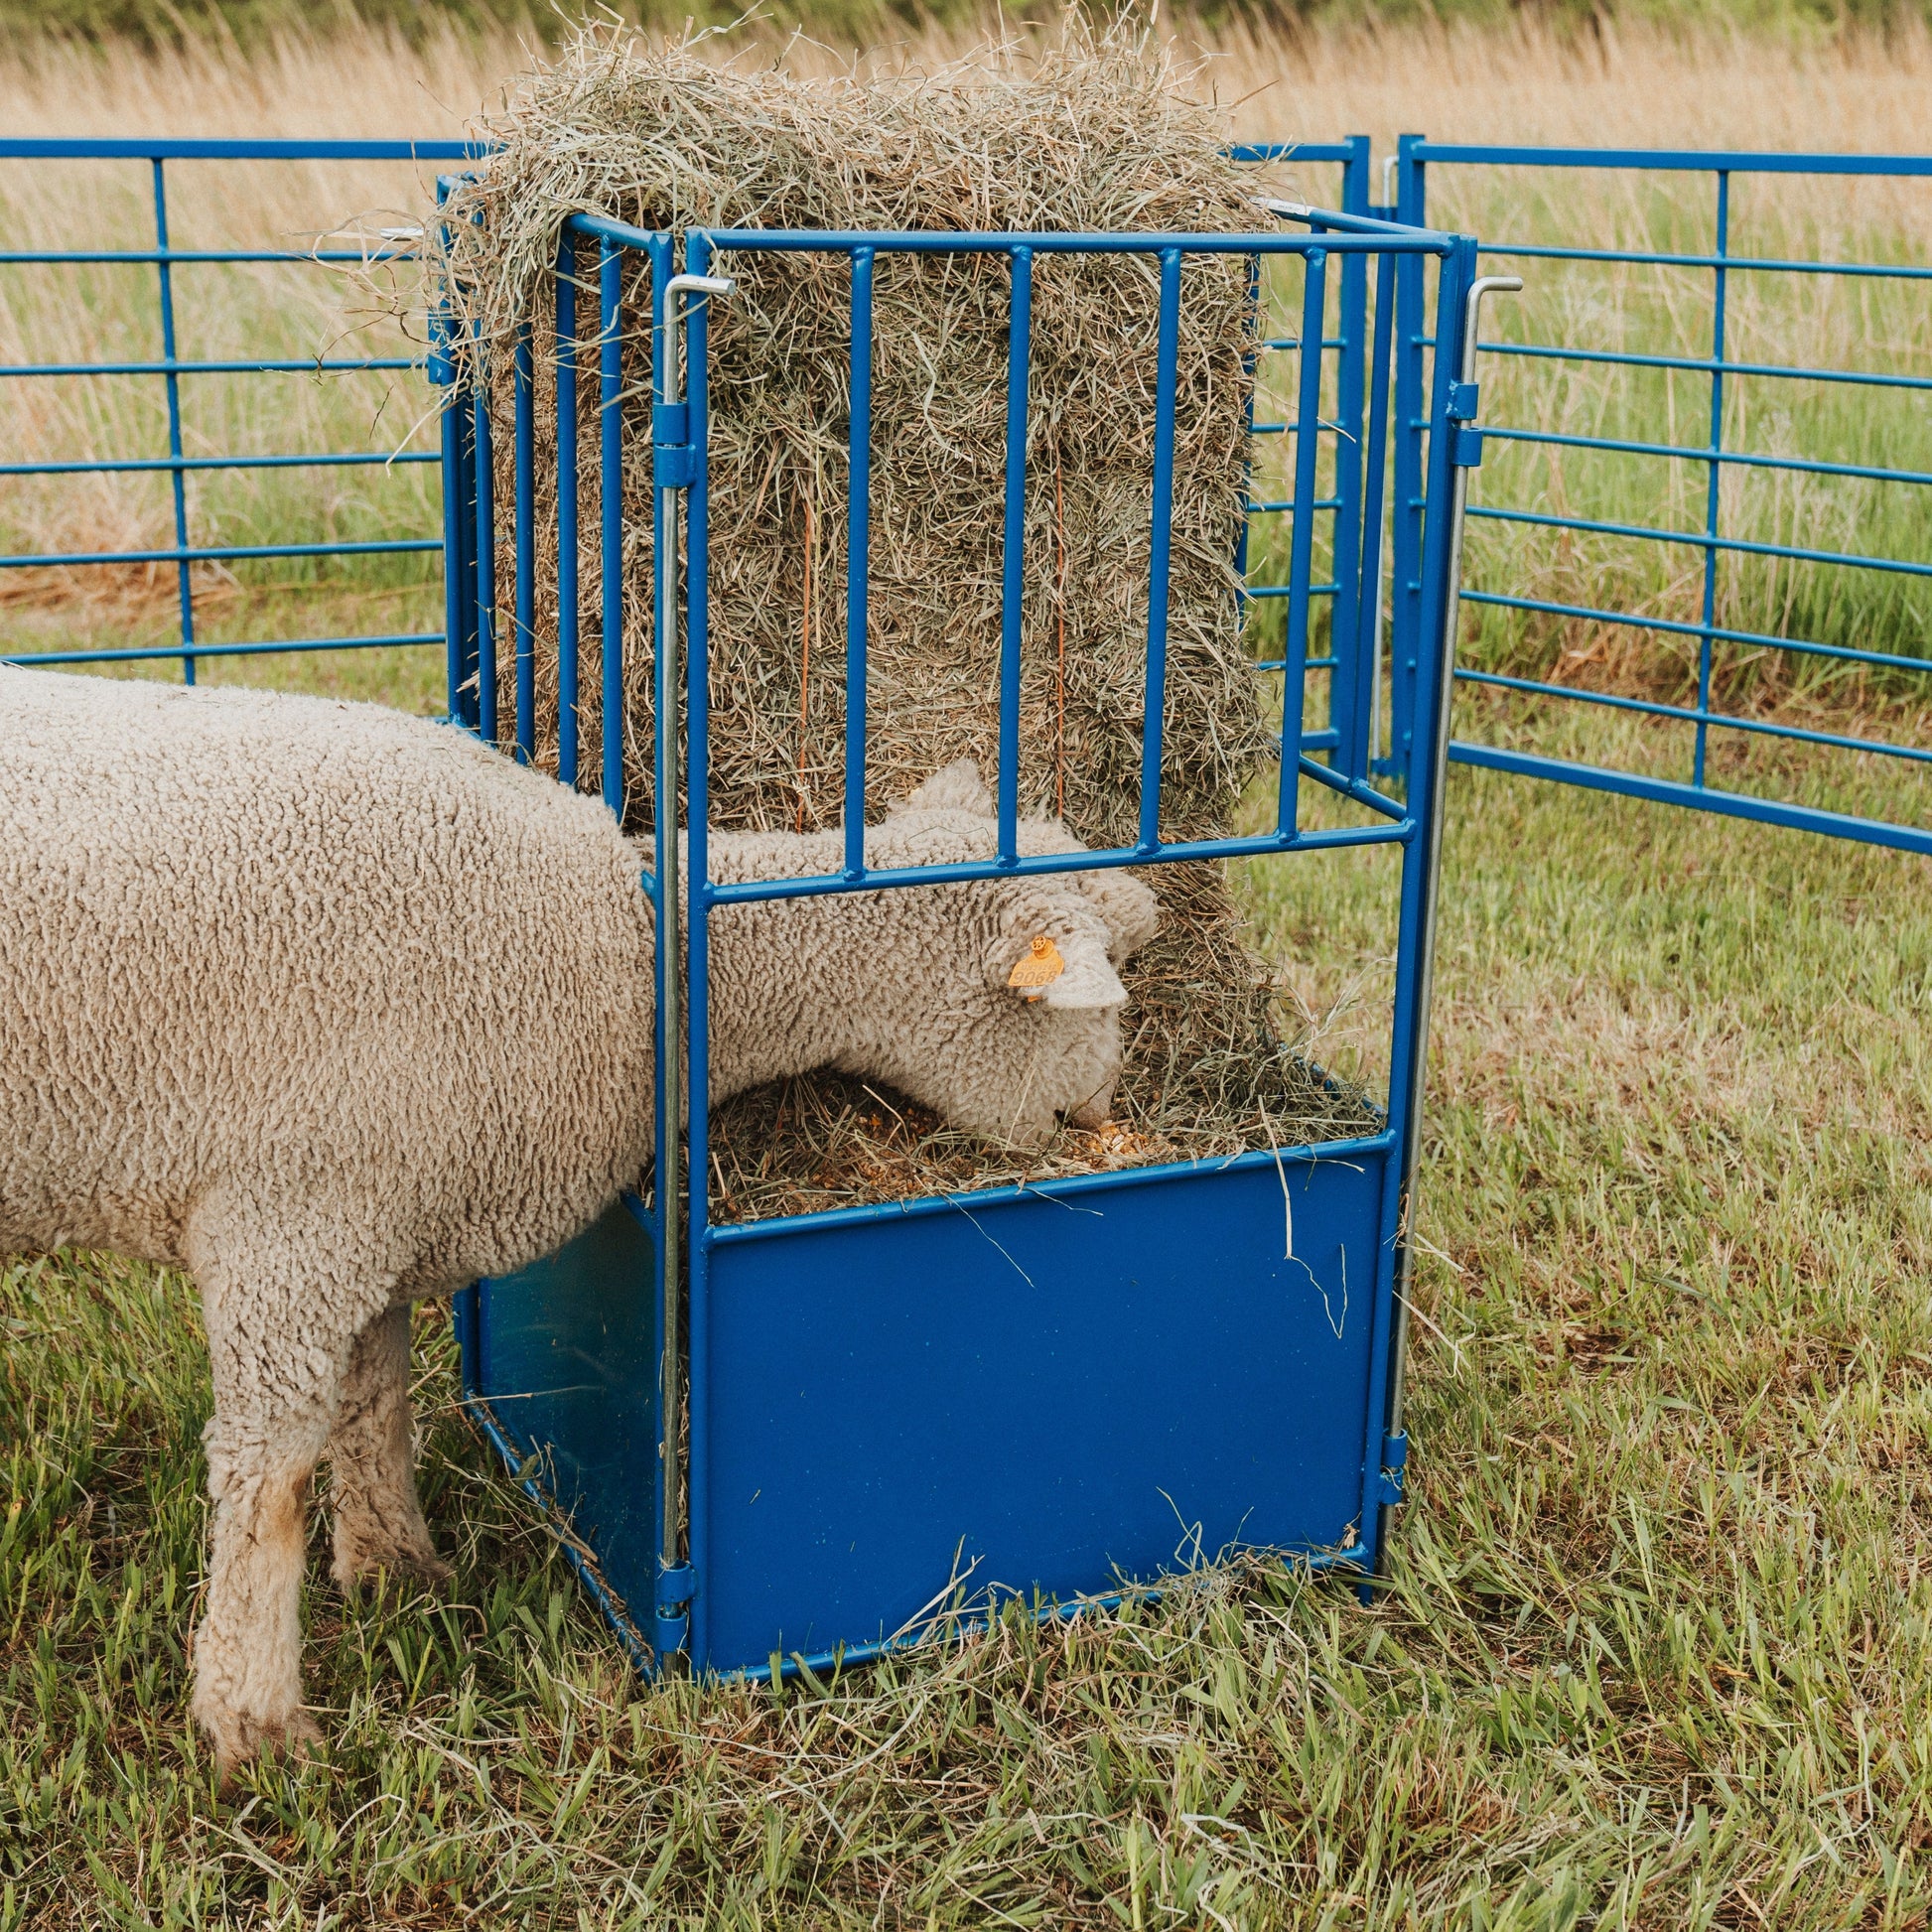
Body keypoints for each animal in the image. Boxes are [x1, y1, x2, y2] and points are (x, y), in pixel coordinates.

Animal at [0, 666, 1157, 1776]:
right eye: (1098, 999)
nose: (1100, 1116)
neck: (641, 946)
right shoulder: (294, 1216)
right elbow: (270, 1476)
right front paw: (254, 1722)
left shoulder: (380, 1204)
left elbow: (374, 1396)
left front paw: (394, 1568)